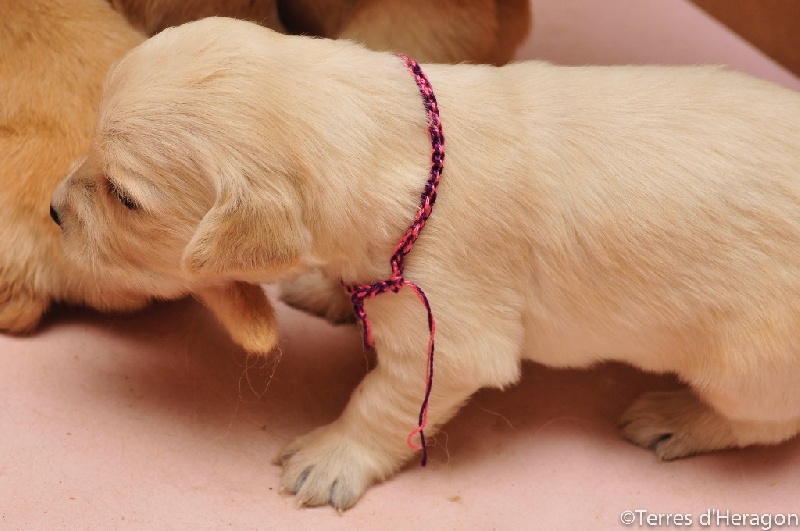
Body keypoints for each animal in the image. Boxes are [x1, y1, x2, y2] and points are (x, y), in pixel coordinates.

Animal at [51, 17, 800, 512]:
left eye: (125, 197)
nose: (53, 210)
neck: (393, 140)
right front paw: (326, 287)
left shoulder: (450, 340)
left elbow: (382, 402)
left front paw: (331, 458)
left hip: (747, 362)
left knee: (767, 420)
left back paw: (679, 416)